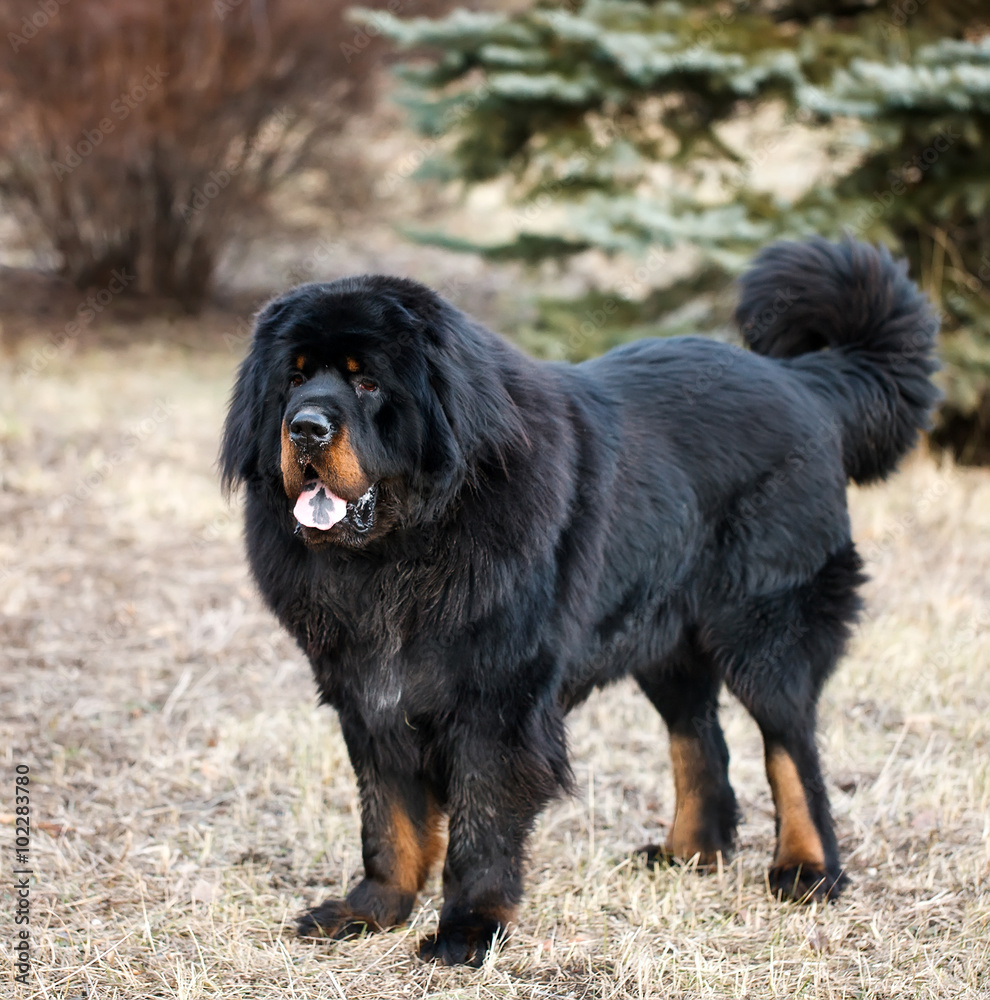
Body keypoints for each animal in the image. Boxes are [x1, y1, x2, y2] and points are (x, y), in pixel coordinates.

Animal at [221, 238, 940, 964]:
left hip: (765, 631)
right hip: (662, 639)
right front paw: (372, 910)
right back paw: (689, 852)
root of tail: (804, 380)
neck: (404, 548)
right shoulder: (369, 692)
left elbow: (481, 823)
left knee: (791, 746)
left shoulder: (495, 704)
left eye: (367, 383)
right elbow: (388, 819)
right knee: (699, 736)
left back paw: (807, 869)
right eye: (293, 381)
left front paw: (468, 929)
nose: (306, 428)